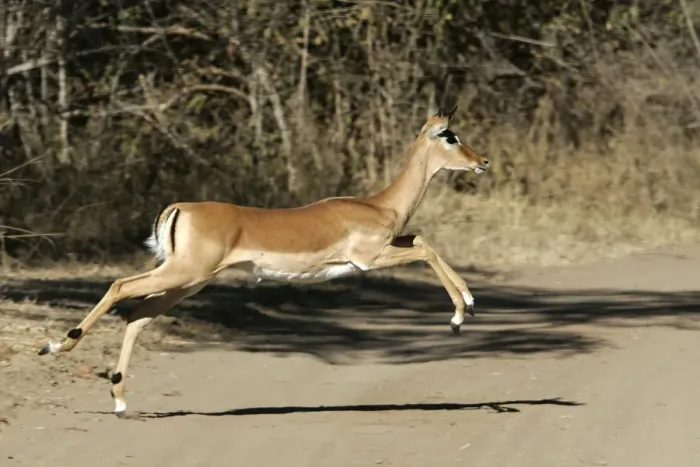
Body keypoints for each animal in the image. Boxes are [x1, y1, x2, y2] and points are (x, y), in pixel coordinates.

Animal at [38, 106, 490, 418]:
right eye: (450, 136)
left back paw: (119, 400)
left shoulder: (389, 245)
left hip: (186, 282)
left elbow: (424, 240)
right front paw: (459, 314)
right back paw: (55, 346)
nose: (482, 162)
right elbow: (426, 249)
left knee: (137, 315)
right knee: (120, 287)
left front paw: (467, 304)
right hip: (183, 273)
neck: (380, 205)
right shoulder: (369, 258)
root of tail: (179, 208)